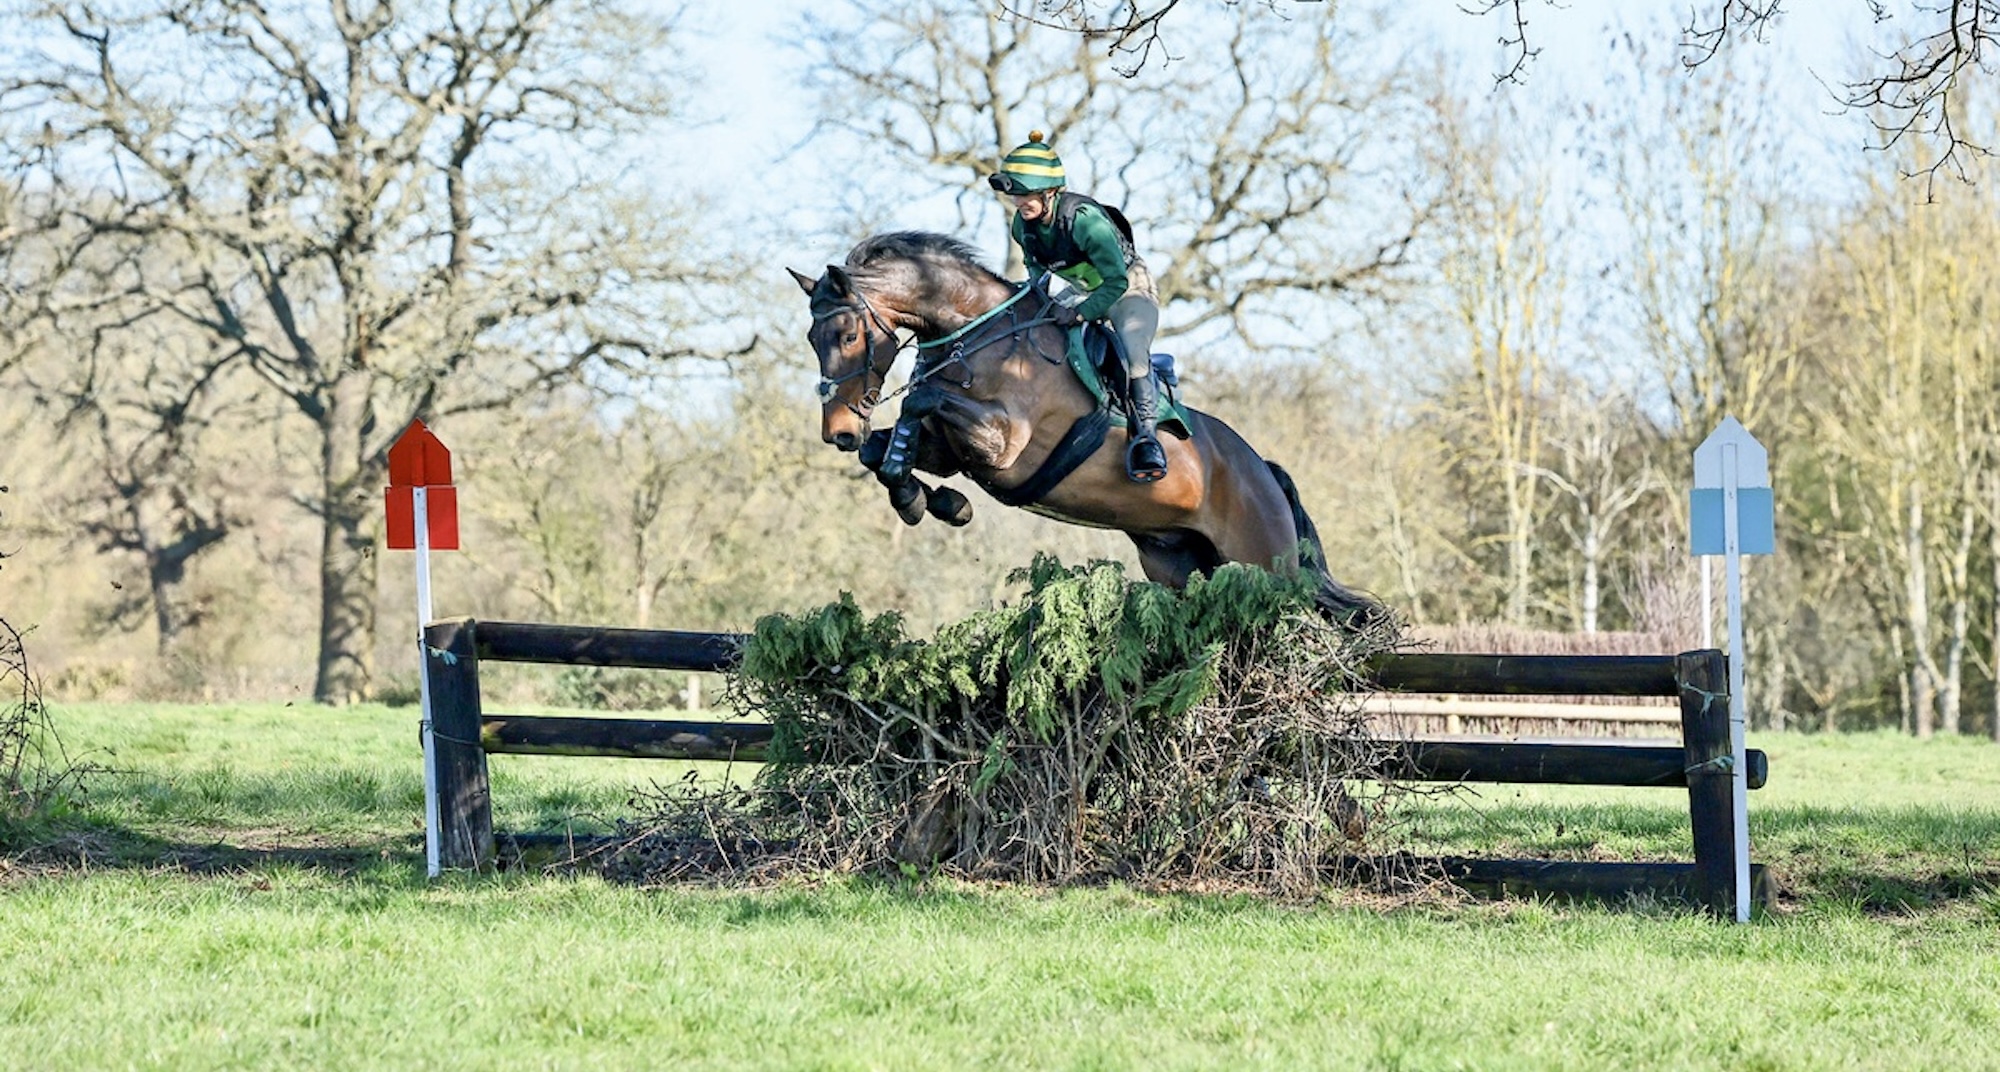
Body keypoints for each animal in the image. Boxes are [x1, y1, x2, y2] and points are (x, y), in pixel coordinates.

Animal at [789, 231, 1384, 626]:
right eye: (813, 339)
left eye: (847, 335)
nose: (837, 431)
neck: (979, 335)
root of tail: (1263, 470)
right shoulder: (954, 449)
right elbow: (888, 449)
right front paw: (923, 497)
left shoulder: (1005, 445)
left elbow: (921, 400)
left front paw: (934, 500)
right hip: (1182, 564)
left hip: (1267, 566)